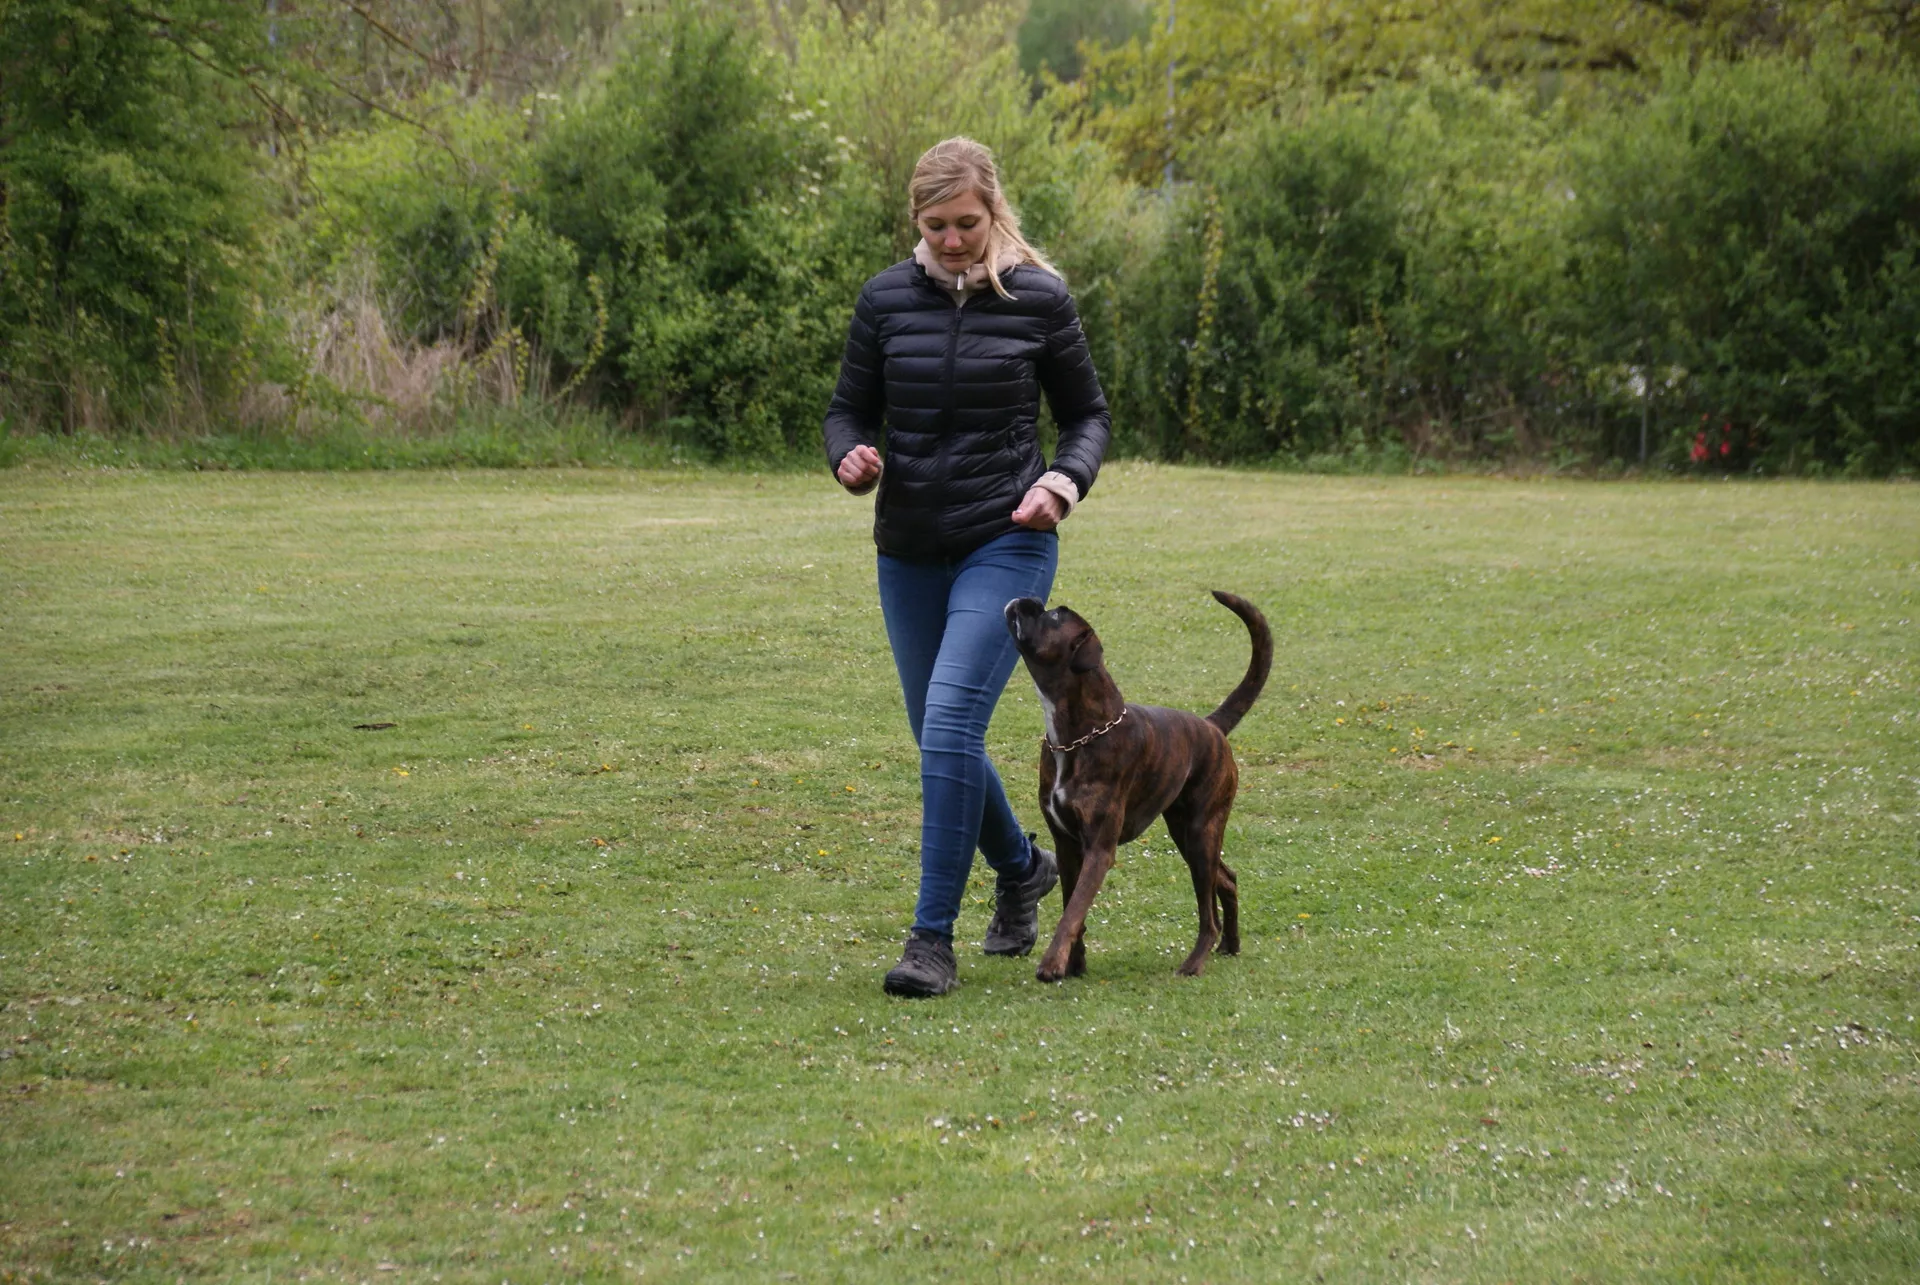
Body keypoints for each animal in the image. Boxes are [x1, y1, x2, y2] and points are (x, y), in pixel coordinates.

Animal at [1004, 591, 1271, 982]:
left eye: (1054, 616)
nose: (1027, 599)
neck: (1079, 734)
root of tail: (1211, 727)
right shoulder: (1066, 845)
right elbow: (1072, 905)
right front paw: (1075, 963)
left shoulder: (1099, 849)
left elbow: (1073, 911)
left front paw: (1053, 964)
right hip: (1188, 837)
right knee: (1227, 879)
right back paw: (1230, 944)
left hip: (1201, 835)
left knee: (1208, 915)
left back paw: (1195, 962)